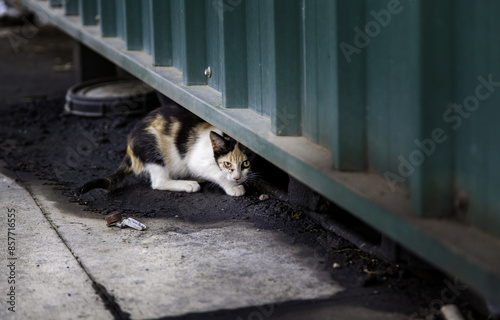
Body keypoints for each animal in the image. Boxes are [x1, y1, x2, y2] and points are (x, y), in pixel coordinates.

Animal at [77, 104, 254, 196]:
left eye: (246, 164)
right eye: (227, 164)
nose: (237, 178)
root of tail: (129, 146)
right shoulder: (196, 160)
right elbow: (217, 173)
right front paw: (233, 187)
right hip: (150, 147)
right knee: (158, 182)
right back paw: (189, 184)